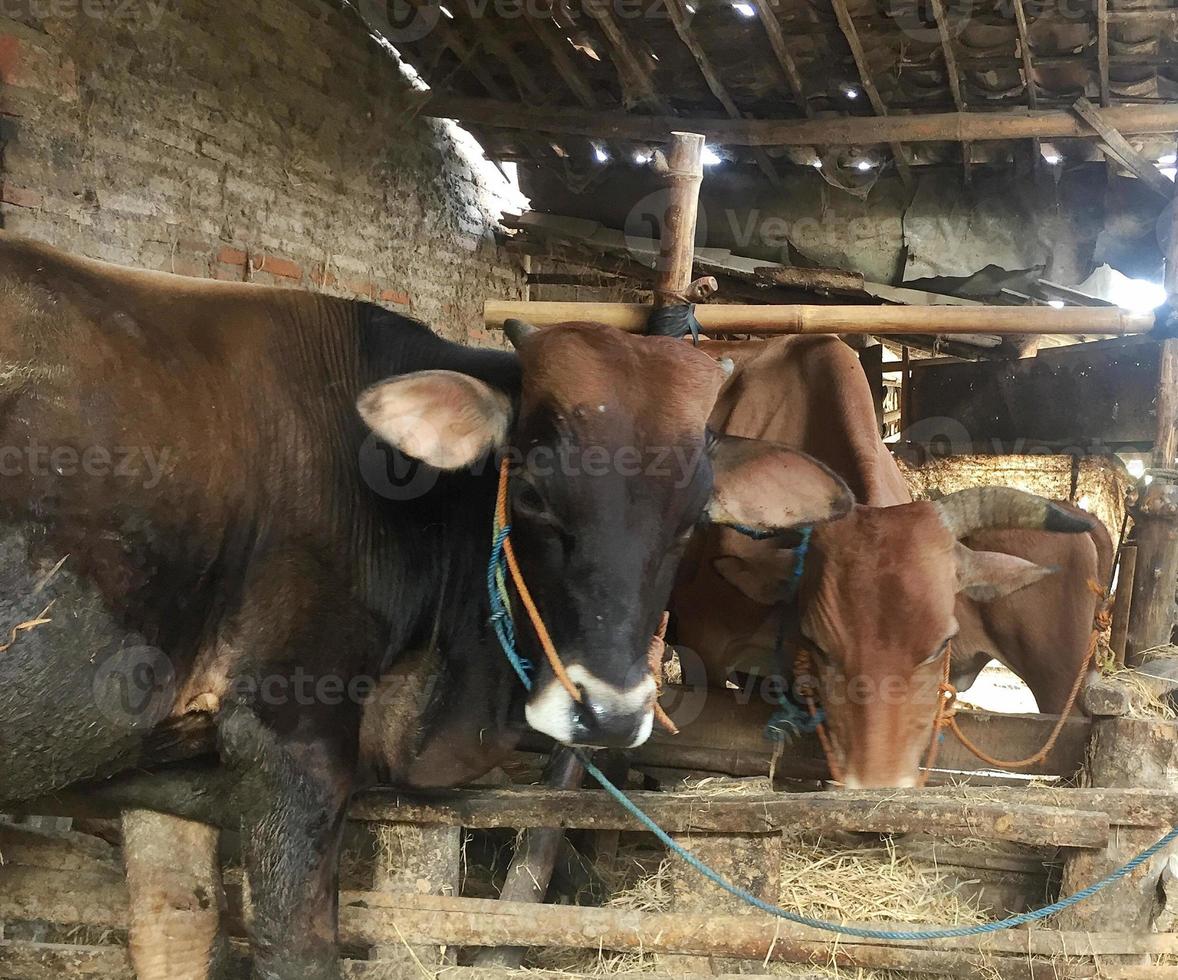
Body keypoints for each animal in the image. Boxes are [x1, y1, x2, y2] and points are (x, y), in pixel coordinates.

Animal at [0, 239, 852, 980]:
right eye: (532, 492)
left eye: (691, 519)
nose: (610, 714)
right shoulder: (289, 738)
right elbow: (298, 952)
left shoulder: (163, 757)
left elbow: (176, 930)